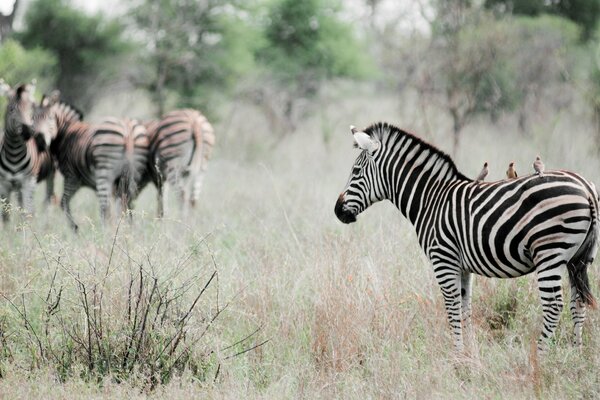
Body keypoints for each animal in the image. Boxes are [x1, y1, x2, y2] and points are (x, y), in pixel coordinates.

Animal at [0, 79, 55, 220]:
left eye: (30, 109)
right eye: (11, 109)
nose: (28, 132)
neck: (13, 152)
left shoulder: (28, 182)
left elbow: (26, 213)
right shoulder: (4, 184)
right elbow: (5, 215)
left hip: (51, 174)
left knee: (48, 200)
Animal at [33, 90, 150, 228]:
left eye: (50, 118)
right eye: (32, 119)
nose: (39, 139)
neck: (65, 133)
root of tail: (127, 128)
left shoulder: (72, 177)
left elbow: (63, 202)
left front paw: (75, 228)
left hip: (104, 171)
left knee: (105, 208)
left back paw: (105, 232)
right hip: (133, 173)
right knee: (128, 205)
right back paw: (128, 230)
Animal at [336, 122, 596, 354]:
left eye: (356, 172)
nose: (338, 211)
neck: (431, 199)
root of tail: (586, 187)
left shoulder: (443, 259)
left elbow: (452, 309)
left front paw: (457, 356)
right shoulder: (462, 266)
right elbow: (465, 308)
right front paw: (470, 355)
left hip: (549, 252)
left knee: (554, 306)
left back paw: (540, 357)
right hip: (578, 259)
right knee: (578, 303)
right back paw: (576, 355)